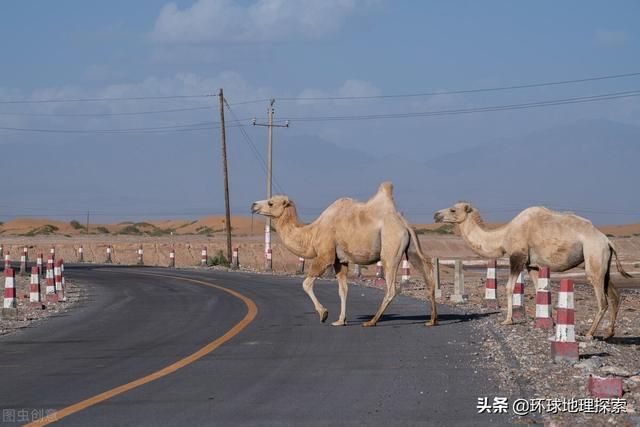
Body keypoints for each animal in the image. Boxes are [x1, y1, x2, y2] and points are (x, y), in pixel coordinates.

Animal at [252, 183, 438, 328]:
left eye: (270, 203)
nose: (253, 205)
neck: (311, 232)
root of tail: (404, 224)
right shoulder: (339, 261)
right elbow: (343, 290)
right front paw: (341, 320)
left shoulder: (325, 255)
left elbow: (306, 284)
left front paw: (324, 314)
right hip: (411, 248)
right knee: (428, 274)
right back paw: (432, 320)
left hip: (391, 248)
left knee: (391, 287)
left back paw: (371, 321)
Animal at [432, 202, 632, 340]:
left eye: (453, 209)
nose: (436, 214)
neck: (503, 235)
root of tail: (607, 241)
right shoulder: (532, 265)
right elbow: (539, 290)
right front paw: (548, 320)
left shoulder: (517, 257)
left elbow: (509, 288)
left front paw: (508, 320)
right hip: (602, 263)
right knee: (614, 294)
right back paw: (608, 333)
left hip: (594, 255)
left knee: (602, 299)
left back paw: (590, 333)